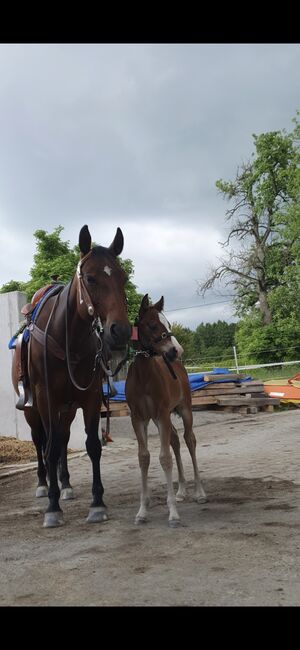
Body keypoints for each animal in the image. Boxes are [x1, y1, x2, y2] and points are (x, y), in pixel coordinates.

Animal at [11, 225, 131, 524]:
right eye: (90, 278)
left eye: (122, 277)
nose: (120, 331)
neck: (68, 339)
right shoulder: (46, 400)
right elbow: (50, 449)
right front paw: (52, 508)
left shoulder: (90, 399)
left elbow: (92, 445)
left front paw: (97, 503)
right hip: (33, 410)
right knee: (42, 442)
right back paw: (45, 485)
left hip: (66, 408)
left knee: (63, 438)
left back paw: (65, 484)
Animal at [125, 294, 206, 528]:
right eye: (153, 324)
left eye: (169, 324)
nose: (175, 351)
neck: (143, 378)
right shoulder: (139, 418)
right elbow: (144, 457)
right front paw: (142, 511)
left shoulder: (161, 415)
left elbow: (164, 458)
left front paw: (173, 514)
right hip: (163, 417)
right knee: (176, 440)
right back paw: (181, 491)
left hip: (185, 409)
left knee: (189, 439)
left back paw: (198, 492)